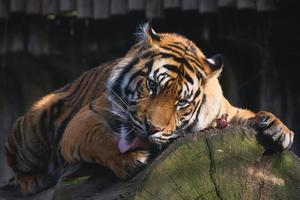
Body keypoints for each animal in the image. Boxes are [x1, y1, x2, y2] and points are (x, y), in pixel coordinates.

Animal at [4, 23, 294, 195]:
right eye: (152, 86)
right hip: (31, 129)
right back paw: (35, 180)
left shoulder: (224, 110)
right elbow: (98, 138)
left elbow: (247, 114)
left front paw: (278, 128)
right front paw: (131, 159)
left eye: (181, 102)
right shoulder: (84, 119)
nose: (152, 128)